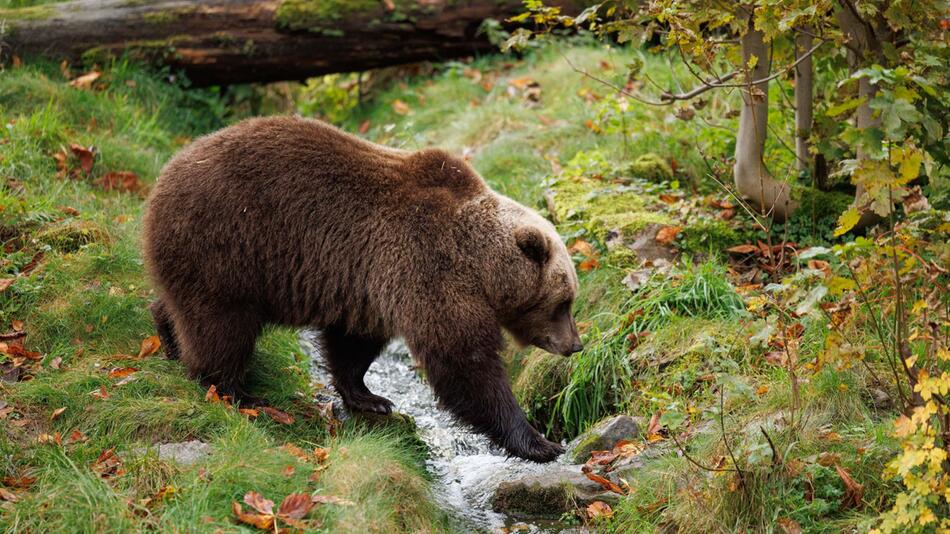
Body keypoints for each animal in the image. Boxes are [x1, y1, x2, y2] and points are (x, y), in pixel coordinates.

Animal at [144, 117, 584, 464]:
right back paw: (237, 392)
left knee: (183, 307)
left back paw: (168, 336)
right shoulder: (429, 265)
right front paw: (538, 441)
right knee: (221, 325)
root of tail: (162, 179)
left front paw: (370, 397)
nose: (575, 345)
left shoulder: (370, 282)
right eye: (564, 302)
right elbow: (463, 360)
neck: (481, 264)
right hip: (228, 245)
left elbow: (353, 344)